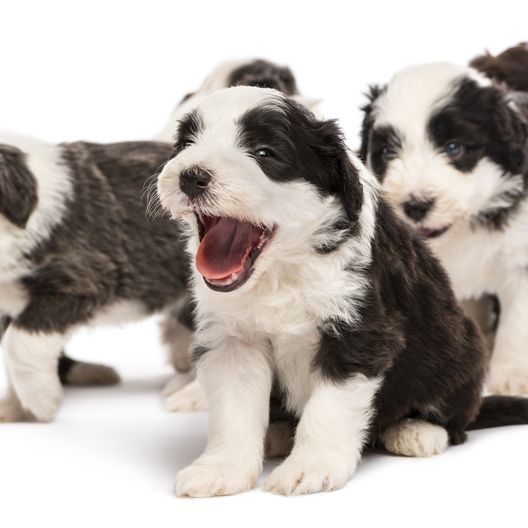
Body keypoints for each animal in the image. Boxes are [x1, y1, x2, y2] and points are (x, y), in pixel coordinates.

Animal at [157, 86, 528, 496]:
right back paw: (277, 433)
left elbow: (328, 409)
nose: (192, 176)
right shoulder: (234, 340)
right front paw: (222, 469)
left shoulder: (359, 333)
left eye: (264, 153)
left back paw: (414, 430)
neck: (282, 271)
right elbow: (234, 410)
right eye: (186, 144)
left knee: (455, 420)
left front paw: (310, 467)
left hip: (460, 348)